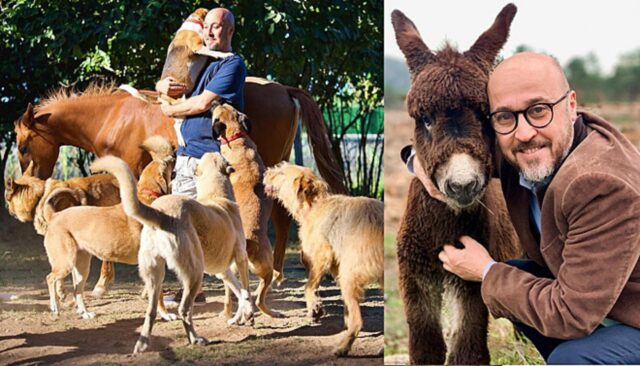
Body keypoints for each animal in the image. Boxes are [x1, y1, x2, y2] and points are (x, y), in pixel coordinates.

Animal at [13, 77, 344, 294]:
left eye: (23, 145)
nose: (31, 180)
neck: (112, 117)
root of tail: (283, 88)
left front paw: (103, 283)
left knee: (280, 218)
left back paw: (274, 274)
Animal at [42, 137, 175, 320]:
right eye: (165, 164)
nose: (174, 155)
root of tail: (54, 216)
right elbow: (159, 294)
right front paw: (165, 314)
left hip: (82, 266)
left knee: (77, 290)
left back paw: (84, 312)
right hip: (65, 263)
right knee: (50, 278)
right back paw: (55, 307)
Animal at [92, 152, 252, 352]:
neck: (216, 195)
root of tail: (162, 214)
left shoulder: (223, 272)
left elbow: (239, 291)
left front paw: (244, 314)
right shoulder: (241, 259)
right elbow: (246, 289)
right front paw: (249, 312)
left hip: (155, 276)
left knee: (151, 311)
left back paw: (142, 344)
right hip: (194, 273)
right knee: (184, 310)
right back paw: (195, 339)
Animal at [212, 102, 280, 318]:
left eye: (223, 105)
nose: (216, 100)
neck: (236, 137)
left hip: (250, 270)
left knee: (244, 297)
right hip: (264, 269)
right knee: (257, 297)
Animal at [262, 162, 382, 356]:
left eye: (281, 173)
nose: (264, 172)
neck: (314, 205)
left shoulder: (321, 258)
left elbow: (309, 287)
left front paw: (315, 309)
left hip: (349, 276)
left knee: (358, 323)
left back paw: (342, 348)